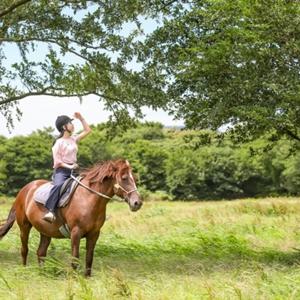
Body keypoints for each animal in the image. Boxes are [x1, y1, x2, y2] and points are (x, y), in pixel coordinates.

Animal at [0, 159, 142, 276]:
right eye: (124, 178)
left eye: (134, 178)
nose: (137, 203)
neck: (88, 198)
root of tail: (24, 190)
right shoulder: (76, 232)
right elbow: (75, 258)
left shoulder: (94, 234)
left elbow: (89, 258)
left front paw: (87, 278)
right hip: (24, 226)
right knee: (24, 250)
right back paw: (24, 270)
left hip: (45, 231)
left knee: (41, 252)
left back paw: (42, 273)